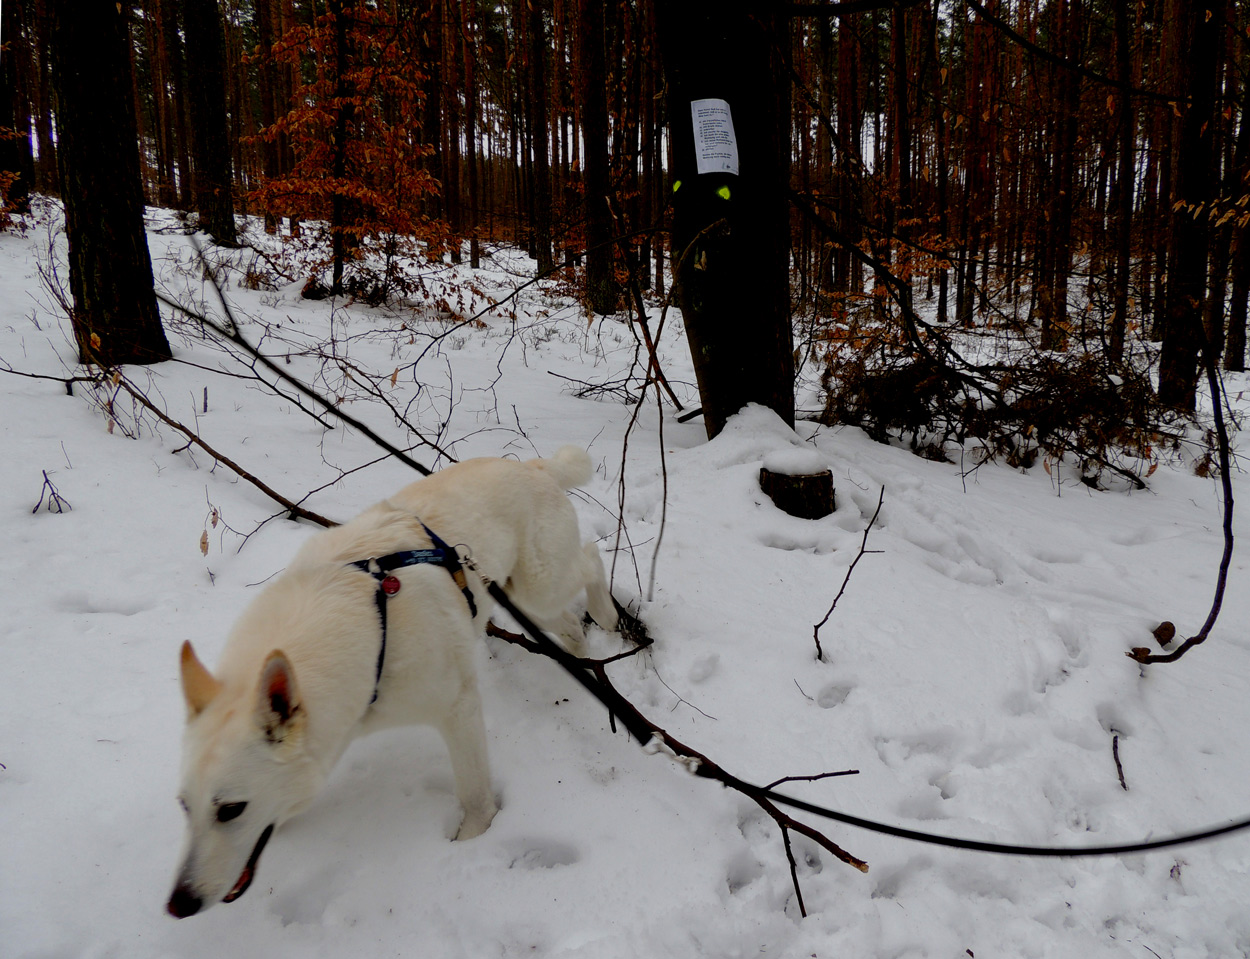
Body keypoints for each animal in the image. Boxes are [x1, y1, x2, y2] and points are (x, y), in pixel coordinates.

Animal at [166, 445, 615, 920]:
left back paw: (607, 616)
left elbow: (475, 795)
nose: (178, 904)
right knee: (571, 623)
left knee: (591, 559)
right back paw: (582, 660)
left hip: (538, 588)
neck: (372, 626)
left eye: (231, 810)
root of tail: (533, 467)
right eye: (184, 805)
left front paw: (472, 841)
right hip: (523, 597)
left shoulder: (458, 709)